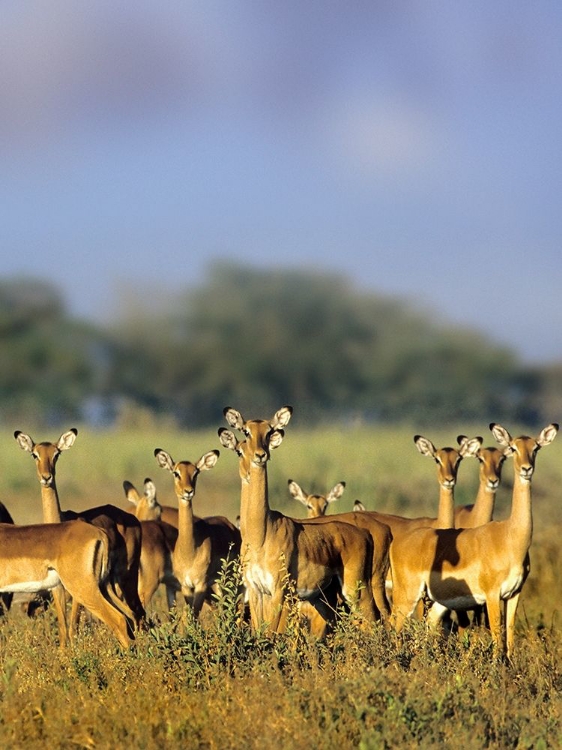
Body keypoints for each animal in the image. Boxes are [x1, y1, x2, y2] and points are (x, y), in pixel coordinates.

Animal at [14, 428, 145, 640]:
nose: (46, 477)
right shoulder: (57, 587)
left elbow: (73, 626)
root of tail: (132, 518)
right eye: (35, 454)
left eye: (56, 454)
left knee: (138, 612)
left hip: (126, 576)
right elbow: (63, 627)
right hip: (109, 583)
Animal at [153, 450, 241, 620]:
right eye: (176, 473)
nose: (188, 491)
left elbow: (194, 615)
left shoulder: (201, 584)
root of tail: (229, 523)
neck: (190, 551)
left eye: (195, 473)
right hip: (217, 583)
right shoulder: (187, 586)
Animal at [218, 412, 376, 636]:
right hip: (324, 598)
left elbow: (272, 634)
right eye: (239, 449)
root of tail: (365, 534)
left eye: (269, 432)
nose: (260, 455)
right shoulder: (256, 591)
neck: (261, 535)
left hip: (356, 591)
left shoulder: (278, 591)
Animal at [390, 426, 556, 660]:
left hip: (438, 601)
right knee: (393, 624)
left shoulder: (514, 594)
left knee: (429, 624)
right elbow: (497, 636)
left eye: (536, 447)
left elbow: (510, 637)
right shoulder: (492, 595)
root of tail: (398, 542)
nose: (526, 469)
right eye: (513, 447)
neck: (511, 537)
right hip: (408, 595)